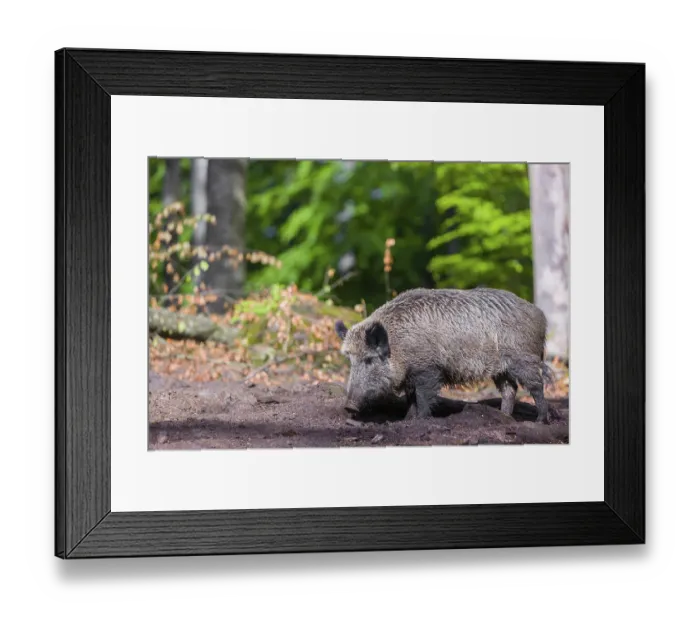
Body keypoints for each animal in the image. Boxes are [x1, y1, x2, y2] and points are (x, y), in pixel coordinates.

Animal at [334, 287, 555, 423]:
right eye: (350, 360)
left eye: (369, 359)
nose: (349, 407)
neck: (398, 344)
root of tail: (541, 315)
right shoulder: (411, 376)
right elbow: (410, 399)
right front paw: (406, 420)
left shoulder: (428, 369)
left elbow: (423, 397)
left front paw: (421, 420)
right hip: (501, 369)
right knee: (510, 389)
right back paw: (505, 418)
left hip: (523, 359)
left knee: (536, 385)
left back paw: (540, 421)